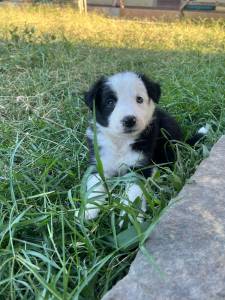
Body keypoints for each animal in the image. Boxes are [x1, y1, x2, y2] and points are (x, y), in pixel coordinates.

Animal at [83, 70, 205, 220]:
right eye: (110, 102)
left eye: (139, 99)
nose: (129, 120)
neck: (121, 141)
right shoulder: (99, 163)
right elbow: (94, 187)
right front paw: (88, 210)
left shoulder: (140, 166)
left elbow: (134, 192)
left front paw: (130, 216)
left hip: (167, 133)